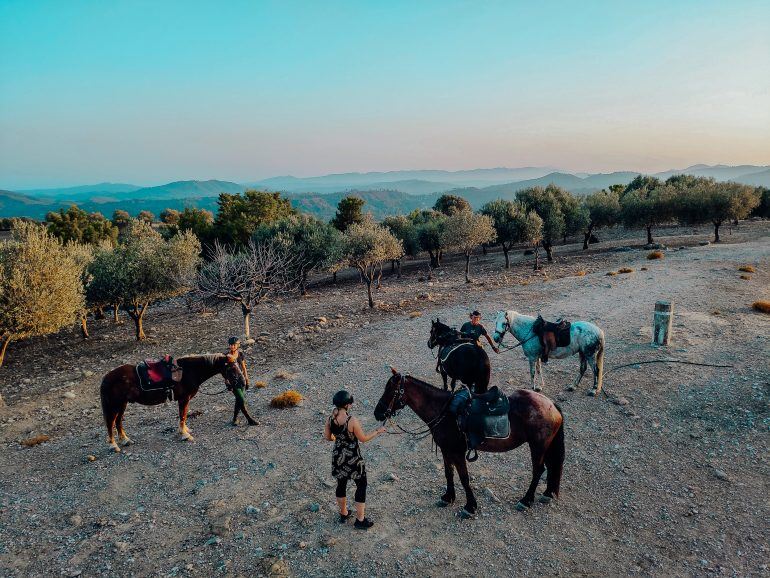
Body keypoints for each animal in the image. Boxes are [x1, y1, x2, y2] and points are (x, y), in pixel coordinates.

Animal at [98, 352, 228, 450]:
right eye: (230, 366)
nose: (233, 384)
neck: (189, 371)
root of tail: (106, 378)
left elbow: (184, 415)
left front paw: (185, 430)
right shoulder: (184, 399)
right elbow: (183, 415)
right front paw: (184, 434)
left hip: (122, 404)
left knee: (118, 422)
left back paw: (125, 440)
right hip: (114, 405)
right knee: (110, 423)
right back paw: (114, 445)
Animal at [374, 368, 564, 516]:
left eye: (391, 391)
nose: (378, 413)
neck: (445, 412)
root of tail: (551, 405)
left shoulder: (457, 452)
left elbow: (464, 478)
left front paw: (470, 506)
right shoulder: (446, 450)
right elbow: (448, 473)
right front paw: (448, 497)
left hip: (537, 446)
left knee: (538, 470)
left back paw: (526, 500)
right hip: (544, 446)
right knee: (550, 467)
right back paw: (547, 493)